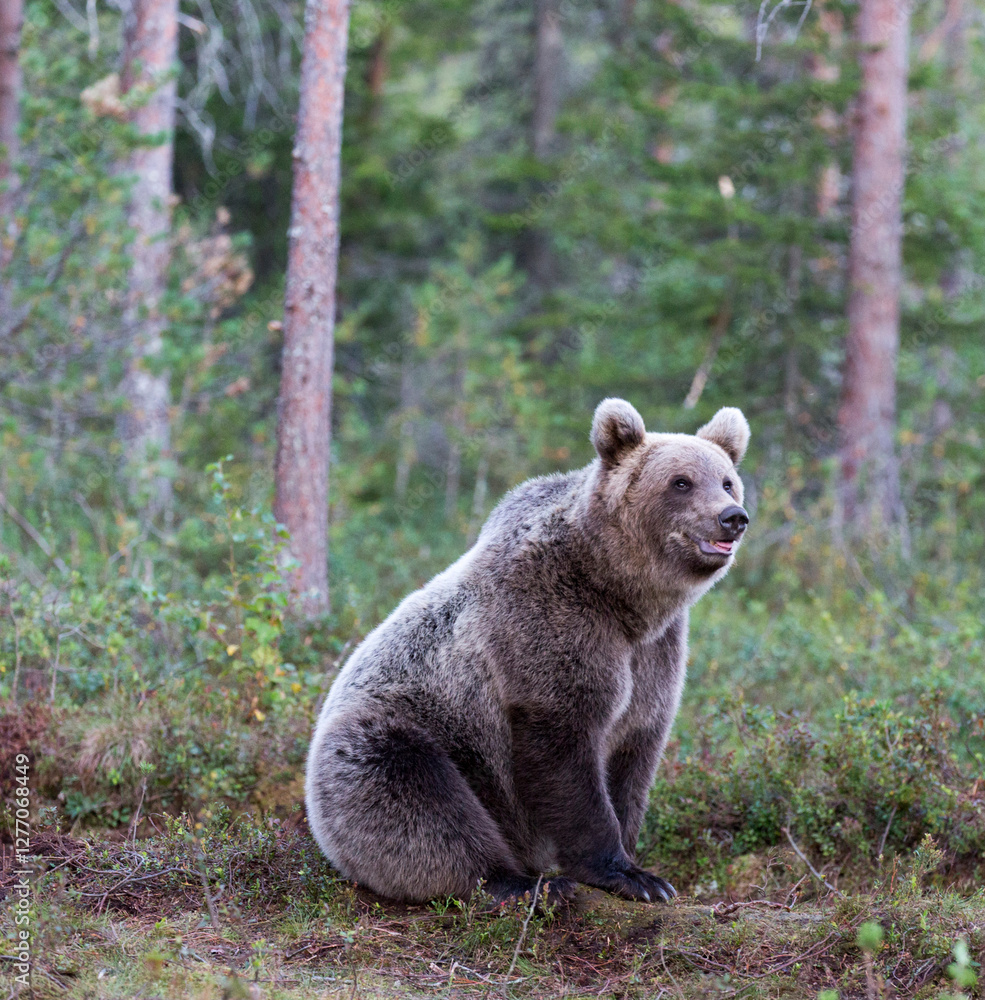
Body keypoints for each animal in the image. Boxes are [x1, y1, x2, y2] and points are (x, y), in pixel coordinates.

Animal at [305, 398, 750, 905]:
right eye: (680, 482)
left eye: (727, 480)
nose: (732, 516)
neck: (622, 596)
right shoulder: (546, 626)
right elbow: (563, 753)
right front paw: (628, 874)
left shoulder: (656, 653)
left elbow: (636, 750)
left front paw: (639, 862)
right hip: (397, 740)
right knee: (421, 801)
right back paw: (524, 882)